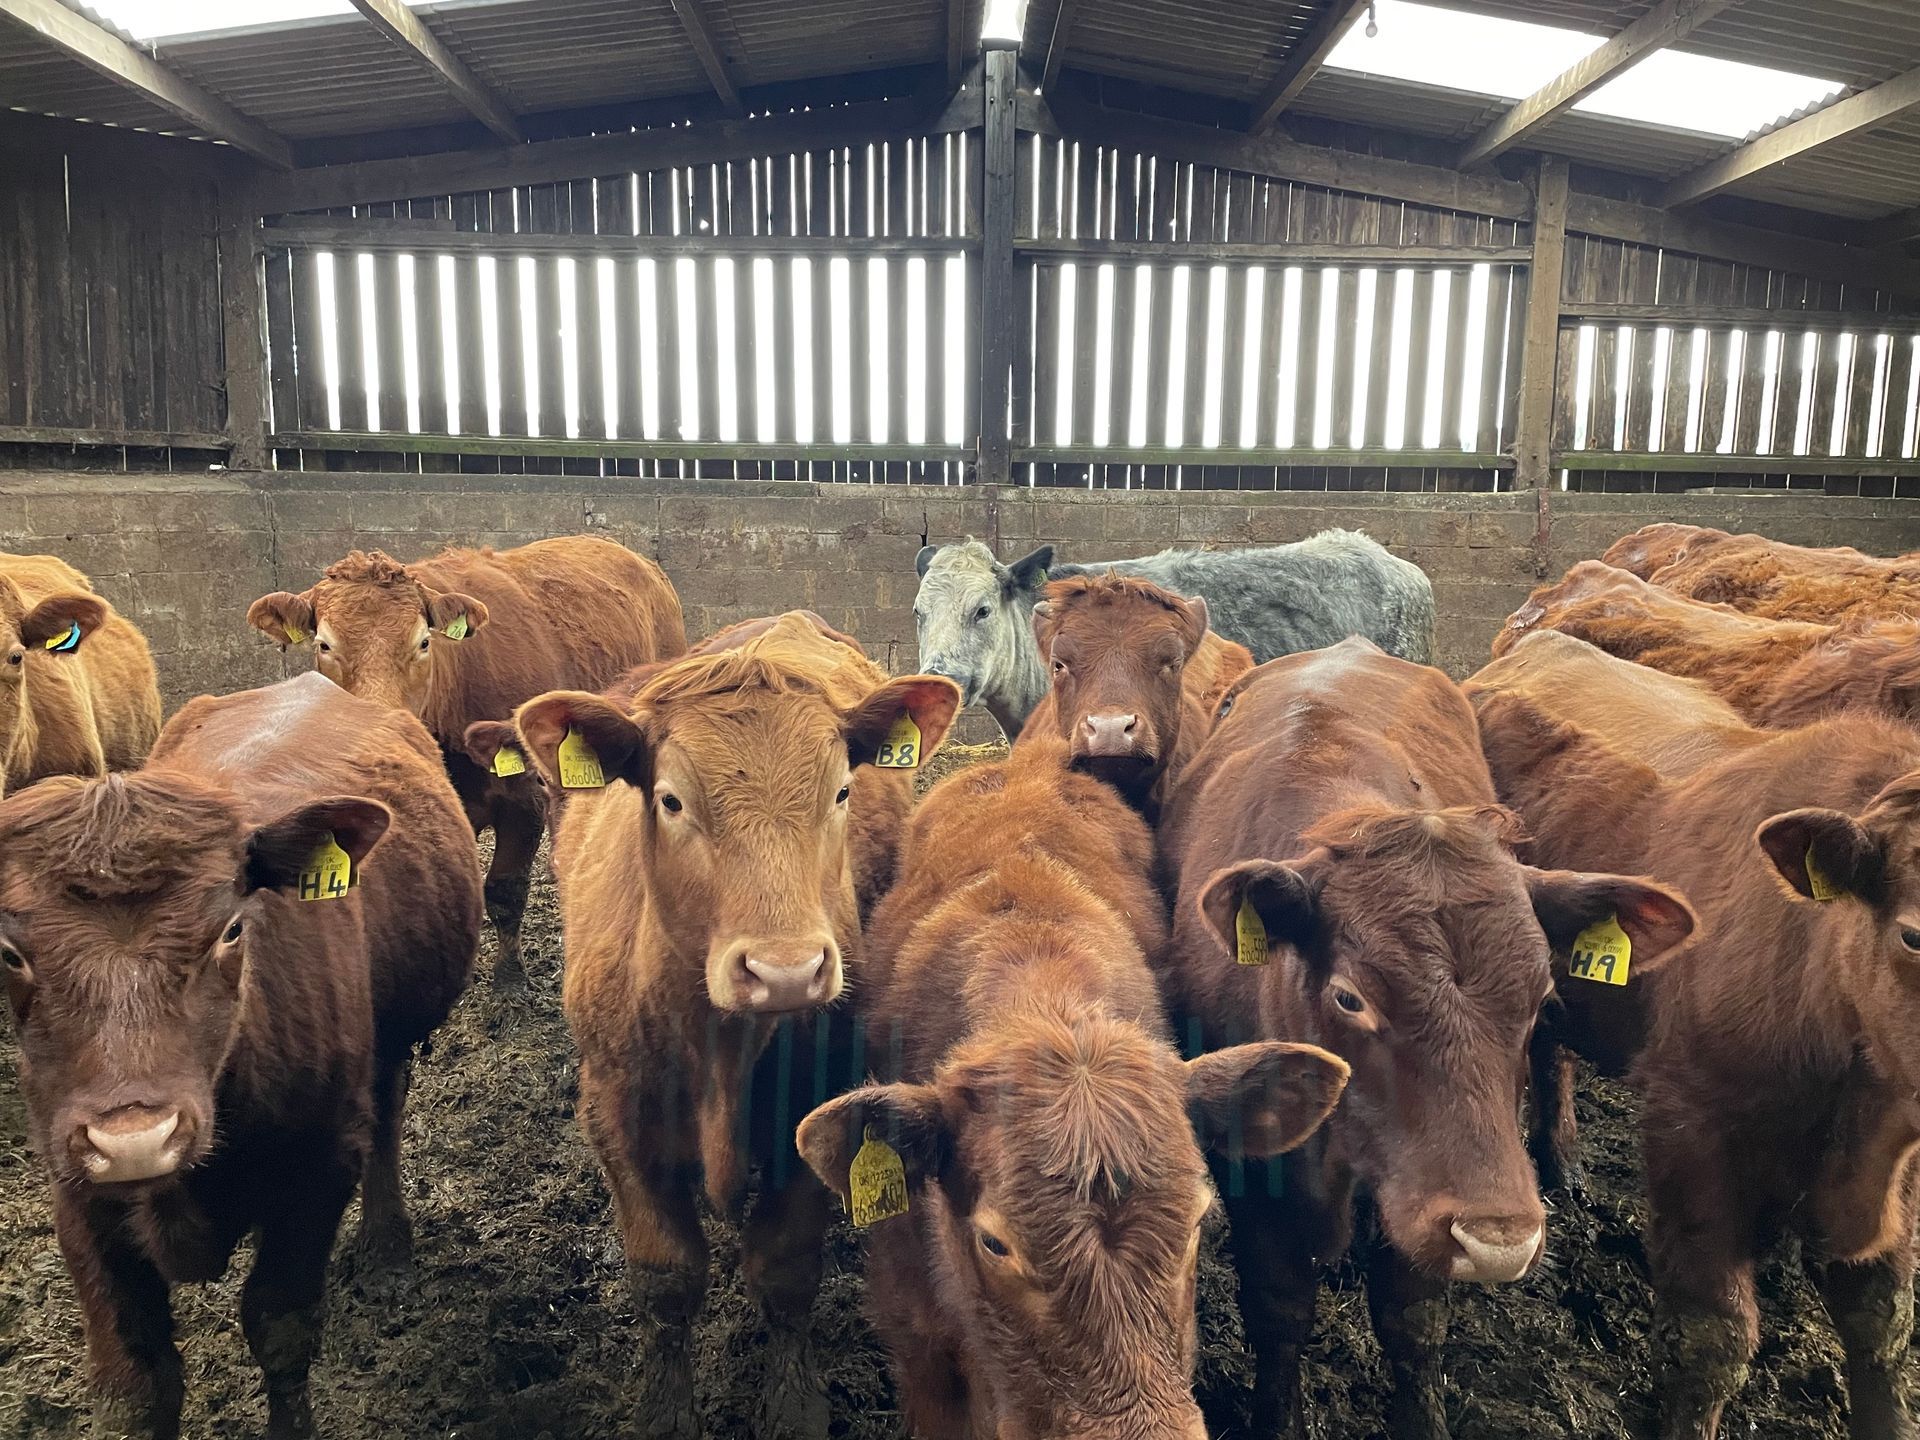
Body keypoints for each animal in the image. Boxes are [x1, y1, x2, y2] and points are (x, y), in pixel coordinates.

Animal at [0, 671, 481, 1440]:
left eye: (231, 929)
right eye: (11, 952)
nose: (135, 1140)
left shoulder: (317, 1167)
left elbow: (279, 1328)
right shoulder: (77, 1191)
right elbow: (141, 1379)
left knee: (388, 1111)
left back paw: (385, 1245)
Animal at [511, 615, 960, 1438]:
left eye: (841, 792)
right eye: (671, 800)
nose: (785, 971)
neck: (717, 1048)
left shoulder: (815, 1108)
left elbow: (784, 1271)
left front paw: (792, 1404)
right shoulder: (616, 1114)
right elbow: (665, 1279)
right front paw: (666, 1411)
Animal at [1158, 637, 1694, 1440]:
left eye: (1541, 997)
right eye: (1349, 997)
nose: (1499, 1238)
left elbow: (1412, 1322)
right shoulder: (1255, 1173)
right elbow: (1279, 1314)